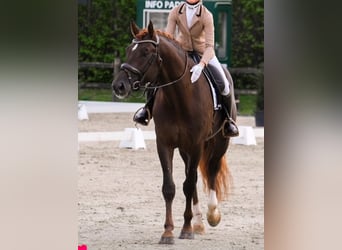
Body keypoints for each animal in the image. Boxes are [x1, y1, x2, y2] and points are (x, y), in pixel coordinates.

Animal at [112, 21, 235, 244]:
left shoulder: (196, 145)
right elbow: (170, 187)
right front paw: (168, 232)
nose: (119, 86)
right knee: (192, 177)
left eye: (145, 52)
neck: (180, 97)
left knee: (211, 171)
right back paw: (198, 223)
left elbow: (189, 185)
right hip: (185, 151)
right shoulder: (165, 144)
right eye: (128, 50)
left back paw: (212, 215)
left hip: (220, 143)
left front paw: (186, 229)